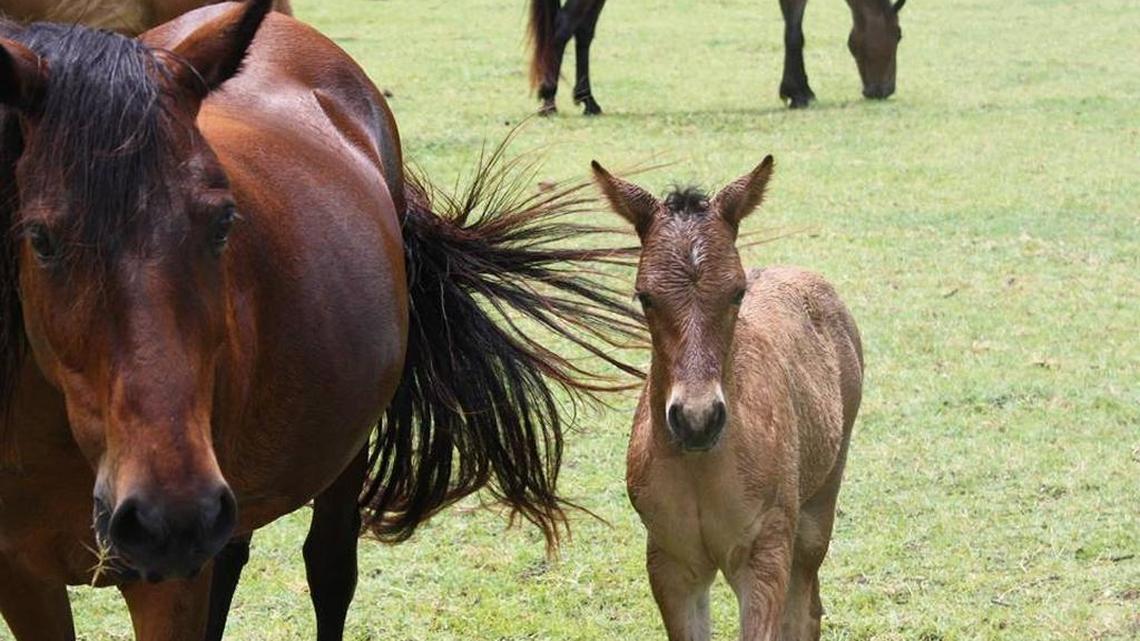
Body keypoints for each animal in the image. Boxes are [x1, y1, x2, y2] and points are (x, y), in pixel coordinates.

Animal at [0, 2, 644, 640]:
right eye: (40, 239)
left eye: (224, 221)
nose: (173, 517)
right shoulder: (24, 580)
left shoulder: (171, 585)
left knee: (329, 568)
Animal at [528, 0, 905, 114]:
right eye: (899, 35)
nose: (883, 89)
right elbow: (794, 32)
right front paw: (797, 91)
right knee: (563, 27)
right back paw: (548, 98)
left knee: (582, 31)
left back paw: (588, 101)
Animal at [591, 157, 864, 640]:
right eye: (644, 296)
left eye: (737, 291)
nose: (697, 419)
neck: (701, 468)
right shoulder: (670, 563)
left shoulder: (764, 556)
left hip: (815, 511)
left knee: (805, 608)